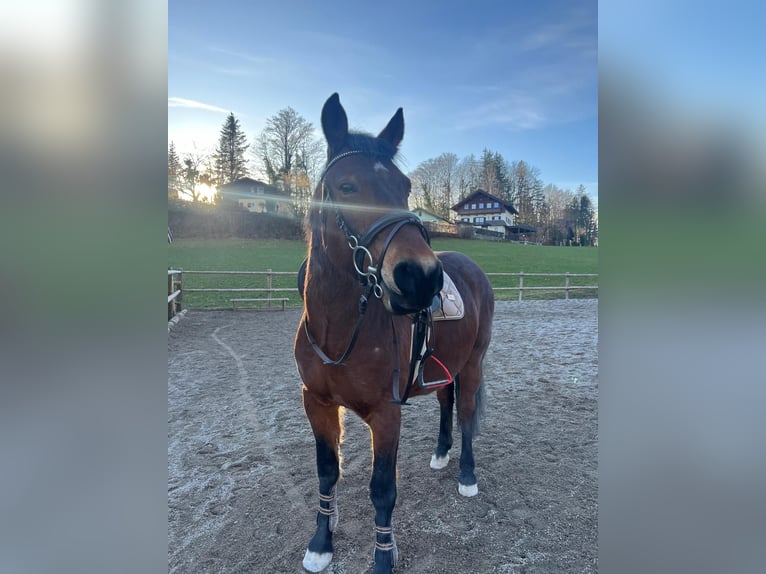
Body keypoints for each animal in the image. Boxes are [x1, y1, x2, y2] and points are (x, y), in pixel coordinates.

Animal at [296, 92, 496, 572]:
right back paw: (441, 454)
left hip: (474, 363)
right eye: (346, 186)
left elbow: (382, 491)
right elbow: (326, 473)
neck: (338, 329)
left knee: (465, 413)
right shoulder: (316, 404)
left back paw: (466, 473)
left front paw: (384, 557)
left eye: (405, 186)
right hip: (445, 367)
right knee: (447, 402)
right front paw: (321, 542)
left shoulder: (386, 415)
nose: (421, 277)